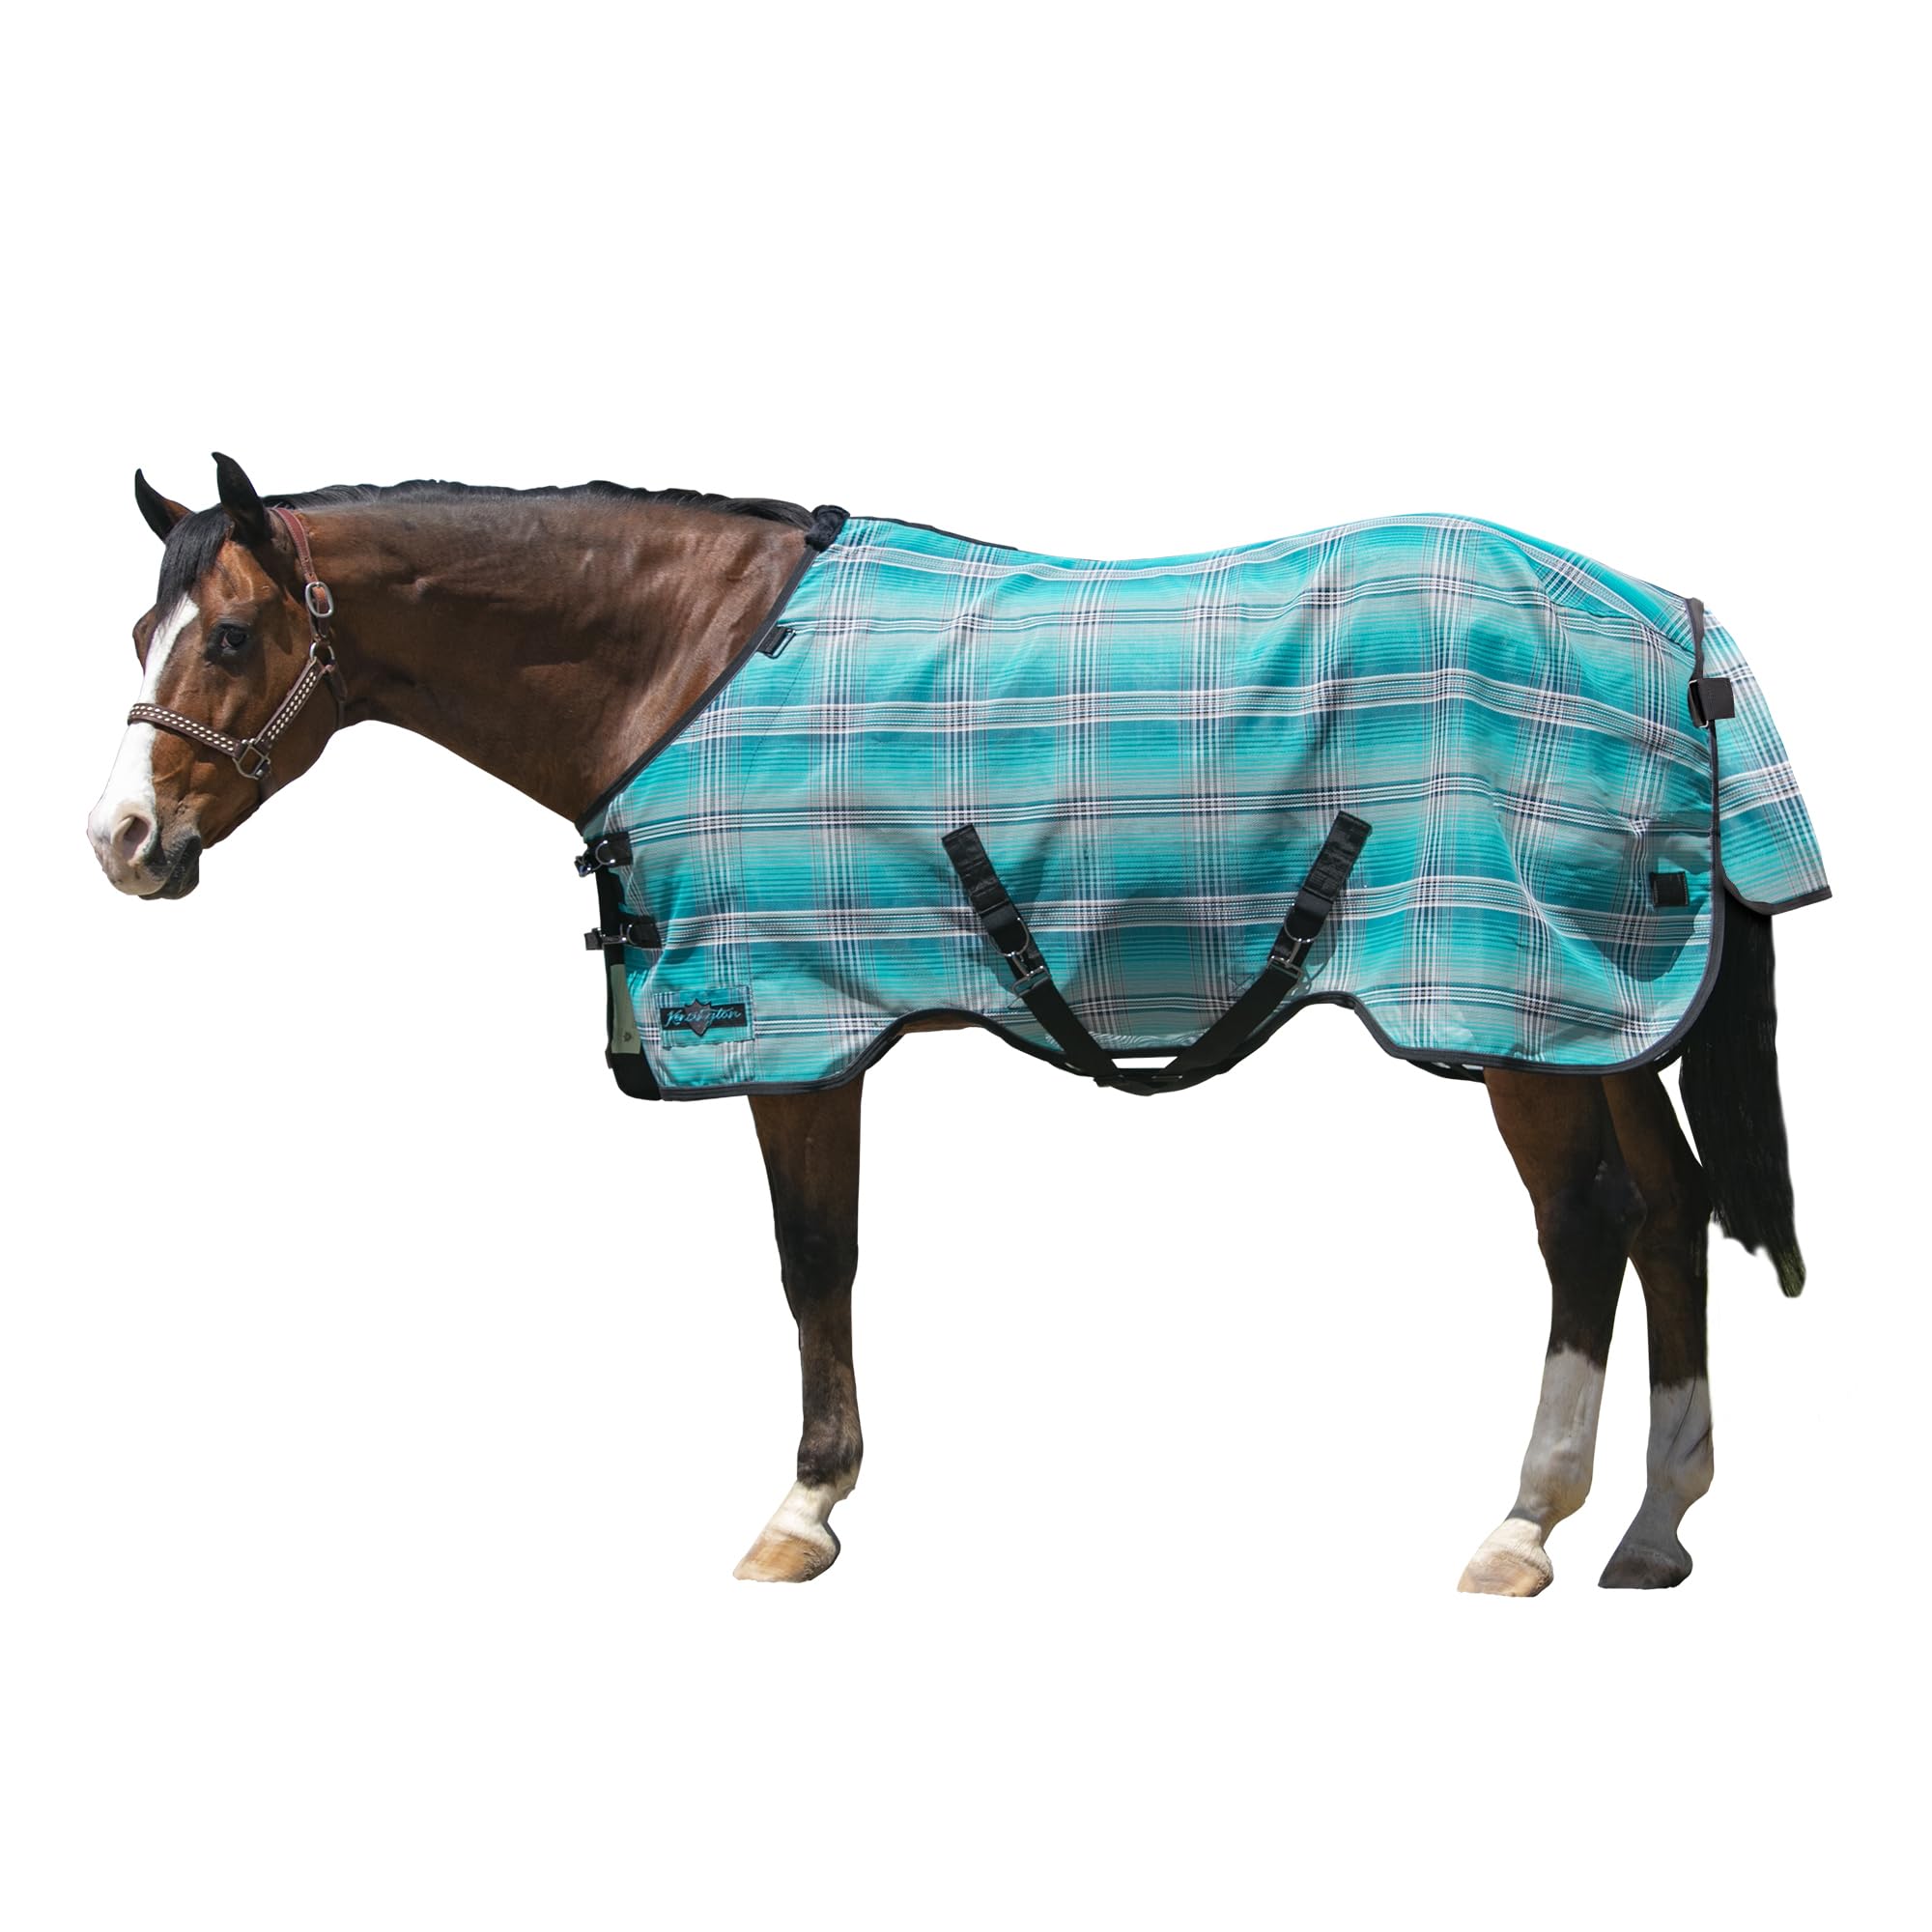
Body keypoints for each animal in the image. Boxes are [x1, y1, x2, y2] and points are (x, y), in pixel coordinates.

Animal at [87, 454, 1824, 1594]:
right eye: (139, 638)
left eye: (229, 637)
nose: (120, 841)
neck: (683, 664)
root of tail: (1676, 627)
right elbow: (827, 1256)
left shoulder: (789, 1030)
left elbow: (813, 1257)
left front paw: (801, 1513)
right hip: (1596, 1006)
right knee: (1672, 1214)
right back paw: (1655, 1530)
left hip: (1513, 1009)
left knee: (1588, 1227)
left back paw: (1528, 1525)